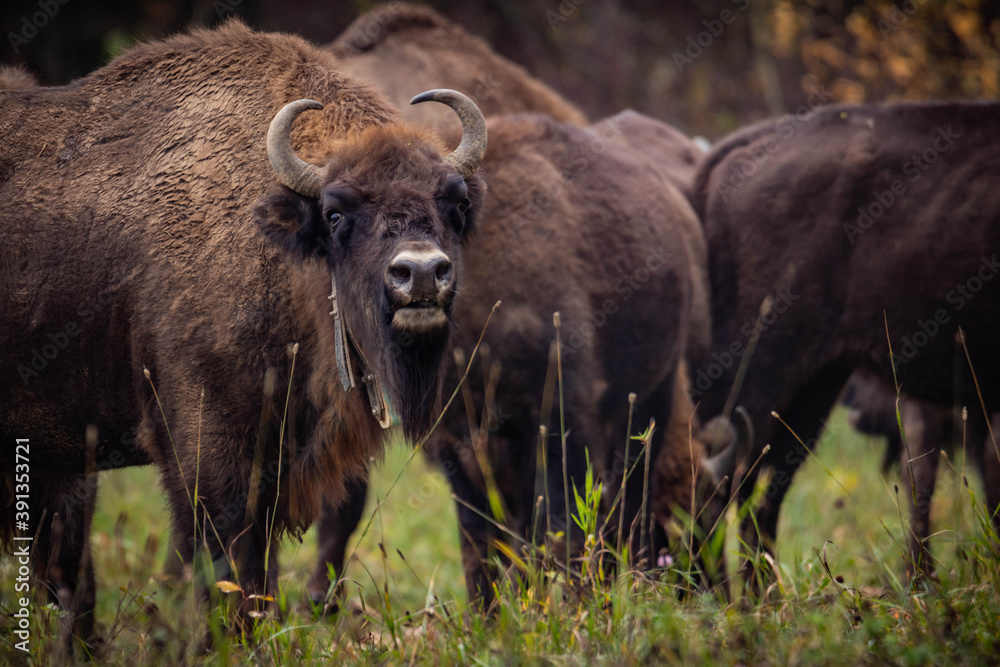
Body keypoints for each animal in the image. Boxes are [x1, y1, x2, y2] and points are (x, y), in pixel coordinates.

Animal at [1, 20, 487, 645]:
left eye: (455, 202)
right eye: (336, 212)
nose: (421, 273)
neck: (277, 248)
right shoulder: (208, 449)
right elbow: (226, 561)